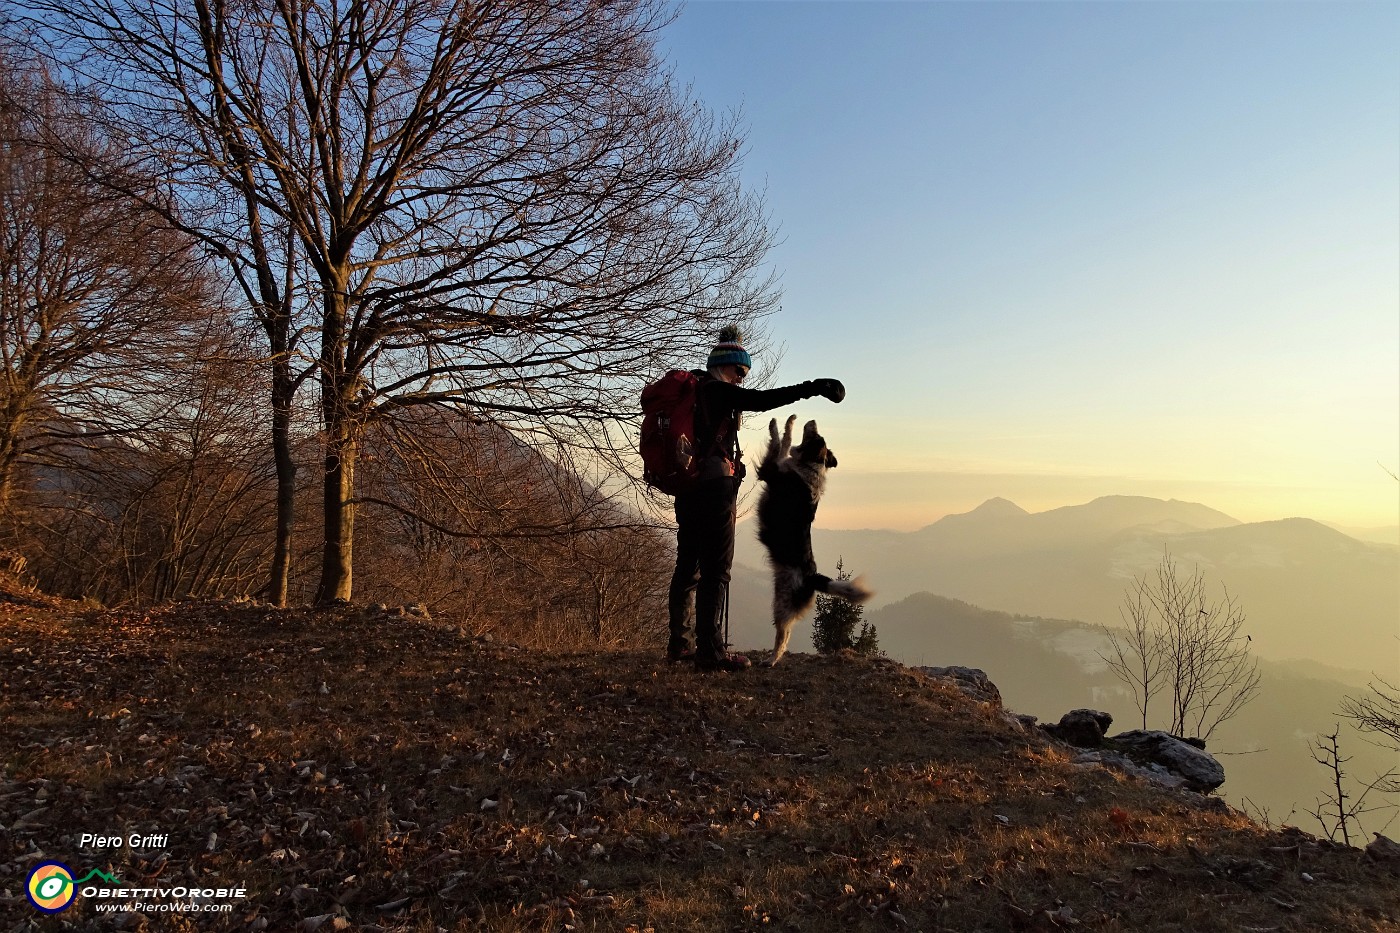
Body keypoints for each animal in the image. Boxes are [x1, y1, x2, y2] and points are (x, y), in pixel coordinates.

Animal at [761, 411, 868, 661]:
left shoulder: (769, 470)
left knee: (783, 634)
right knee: (787, 632)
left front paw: (777, 424)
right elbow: (785, 442)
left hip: (782, 602)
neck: (809, 466)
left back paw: (772, 659)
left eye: (815, 436)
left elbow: (779, 443)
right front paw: (789, 421)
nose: (812, 420)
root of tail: (813, 576)